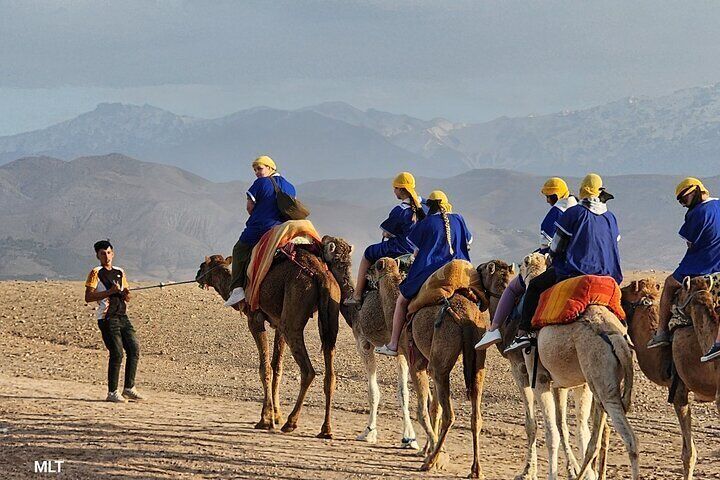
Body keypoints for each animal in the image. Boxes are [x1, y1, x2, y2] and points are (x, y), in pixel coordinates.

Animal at [196, 243, 344, 438]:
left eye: (203, 265)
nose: (197, 274)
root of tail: (320, 275)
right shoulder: (278, 324)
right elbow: (277, 367)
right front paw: (276, 414)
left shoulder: (255, 318)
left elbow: (264, 368)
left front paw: (265, 419)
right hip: (331, 311)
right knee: (330, 371)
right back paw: (325, 429)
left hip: (294, 315)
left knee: (308, 371)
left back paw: (291, 422)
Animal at [320, 236, 434, 452]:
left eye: (327, 245)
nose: (322, 238)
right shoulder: (399, 351)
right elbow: (403, 393)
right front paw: (409, 438)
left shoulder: (364, 343)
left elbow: (374, 391)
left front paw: (368, 433)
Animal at [374, 257, 486, 478]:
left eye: (374, 267)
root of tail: (466, 318)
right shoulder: (426, 361)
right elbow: (435, 408)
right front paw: (427, 449)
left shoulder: (416, 362)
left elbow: (423, 410)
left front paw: (434, 454)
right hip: (477, 359)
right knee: (475, 416)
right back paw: (475, 470)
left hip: (440, 360)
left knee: (450, 415)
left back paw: (430, 462)